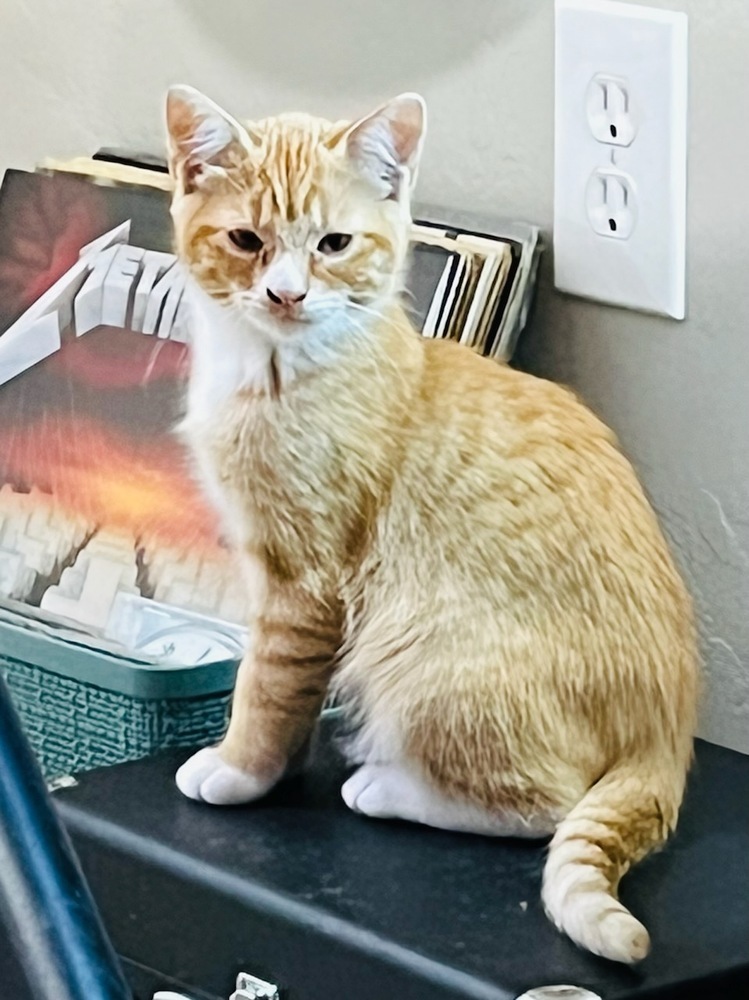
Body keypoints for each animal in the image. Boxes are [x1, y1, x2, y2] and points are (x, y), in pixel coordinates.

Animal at [167, 90, 700, 964]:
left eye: (333, 244)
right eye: (246, 240)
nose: (285, 294)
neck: (276, 370)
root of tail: (671, 726)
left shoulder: (302, 580)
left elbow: (266, 686)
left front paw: (241, 768)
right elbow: (283, 688)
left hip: (423, 656)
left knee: (550, 802)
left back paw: (387, 786)